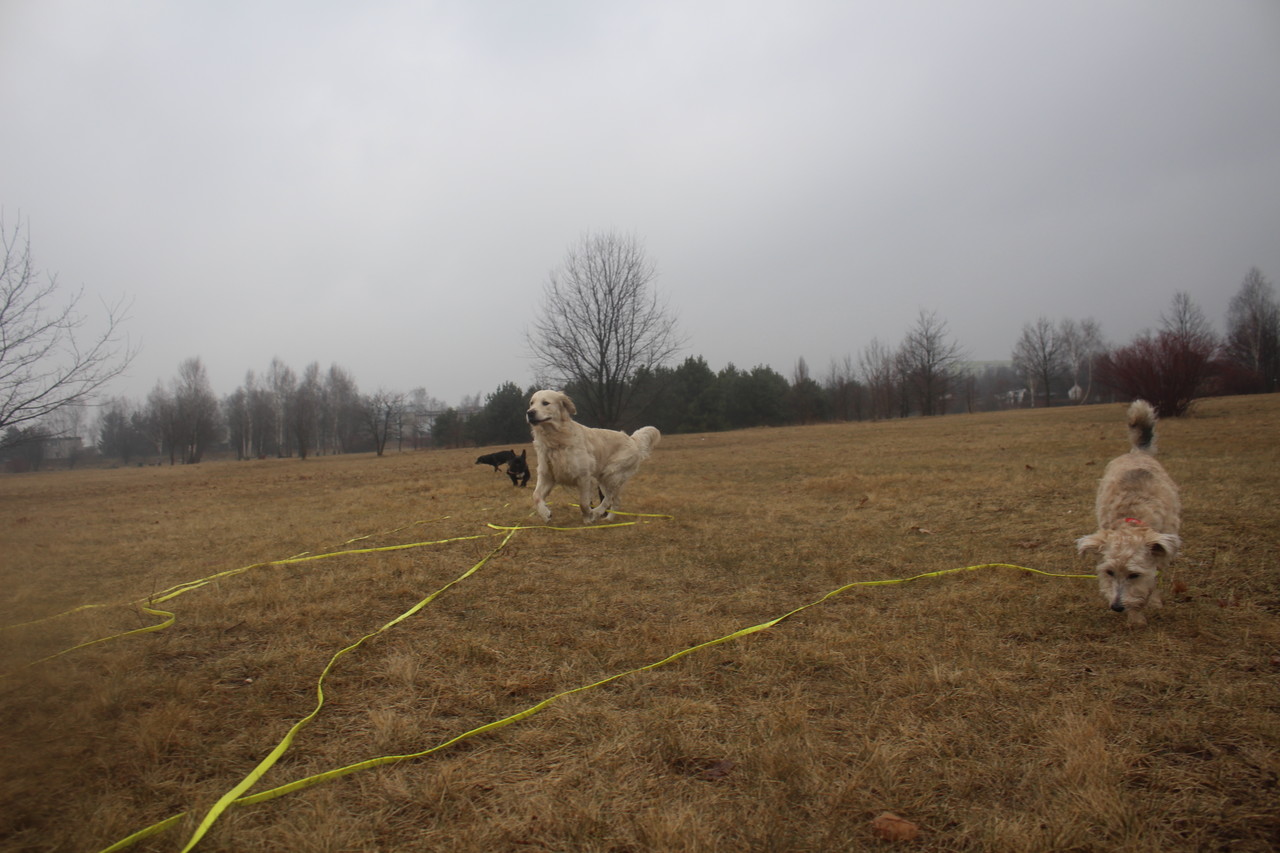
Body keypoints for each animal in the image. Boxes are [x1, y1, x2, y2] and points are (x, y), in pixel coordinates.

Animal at [526, 389, 660, 523]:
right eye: (531, 403)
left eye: (545, 403)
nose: (530, 413)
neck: (556, 440)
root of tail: (632, 440)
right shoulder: (547, 475)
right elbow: (535, 496)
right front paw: (545, 514)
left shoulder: (584, 477)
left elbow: (583, 503)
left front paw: (588, 518)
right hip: (605, 479)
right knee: (615, 500)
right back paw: (608, 519)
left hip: (611, 474)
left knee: (609, 498)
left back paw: (597, 512)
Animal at [1076, 400, 1182, 626]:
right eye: (1109, 572)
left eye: (1134, 575)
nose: (1117, 607)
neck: (1133, 517)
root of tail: (1136, 453)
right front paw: (1136, 617)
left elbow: (1153, 580)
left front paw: (1149, 604)